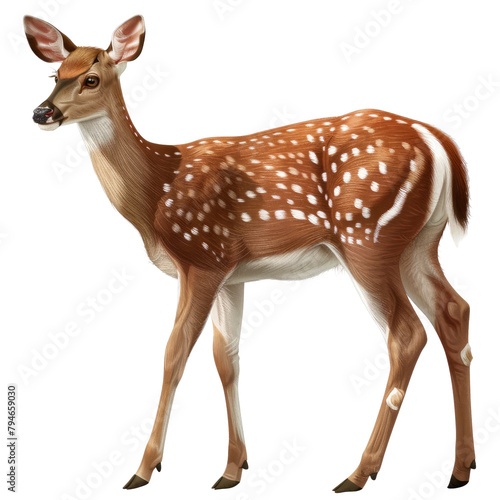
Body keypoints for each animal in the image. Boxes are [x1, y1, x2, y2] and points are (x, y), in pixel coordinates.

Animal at [24, 14, 476, 492]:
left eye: (90, 78)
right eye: (56, 75)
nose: (42, 112)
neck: (156, 190)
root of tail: (438, 140)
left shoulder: (200, 256)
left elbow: (174, 354)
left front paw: (144, 469)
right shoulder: (230, 273)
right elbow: (227, 359)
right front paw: (231, 469)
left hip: (367, 236)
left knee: (407, 334)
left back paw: (359, 471)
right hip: (419, 242)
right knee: (454, 310)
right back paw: (460, 468)